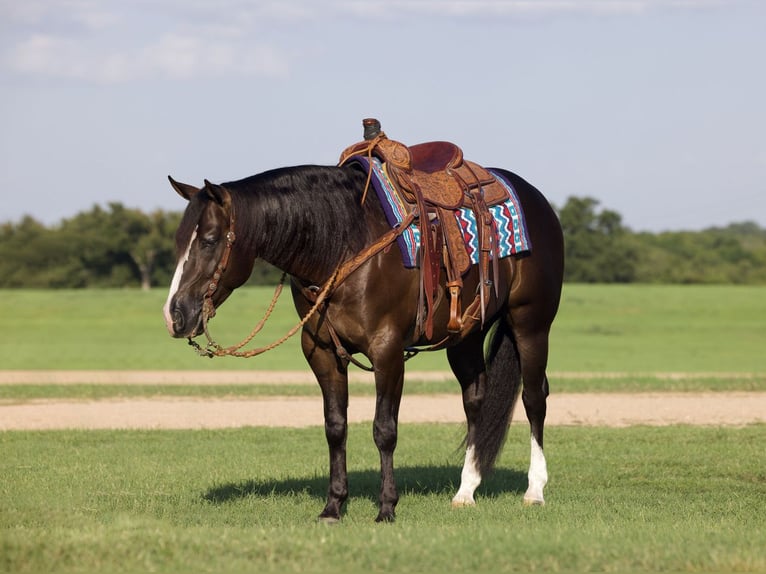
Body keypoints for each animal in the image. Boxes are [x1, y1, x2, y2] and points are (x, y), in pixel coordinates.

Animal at [165, 147, 568, 520]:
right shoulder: (321, 352)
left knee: (534, 397)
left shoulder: (387, 351)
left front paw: (386, 507)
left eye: (210, 239)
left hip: (531, 324)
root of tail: (535, 198)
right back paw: (465, 491)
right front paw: (333, 506)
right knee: (475, 400)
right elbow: (335, 427)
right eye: (179, 241)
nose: (175, 315)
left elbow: (384, 429)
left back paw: (534, 490)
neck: (343, 244)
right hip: (465, 335)